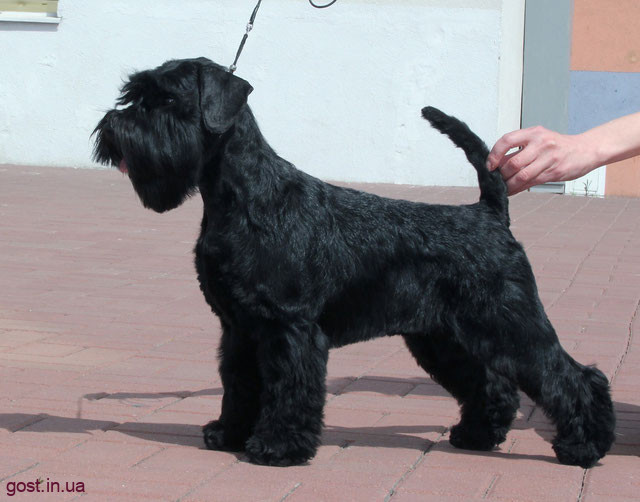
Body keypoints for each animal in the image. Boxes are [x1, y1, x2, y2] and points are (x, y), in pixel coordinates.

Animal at [93, 57, 615, 468]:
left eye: (166, 99)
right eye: (135, 95)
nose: (112, 126)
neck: (245, 199)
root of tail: (489, 212)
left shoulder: (289, 327)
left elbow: (289, 390)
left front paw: (278, 447)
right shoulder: (239, 329)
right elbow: (240, 384)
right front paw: (229, 433)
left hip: (511, 324)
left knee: (571, 377)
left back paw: (585, 446)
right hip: (442, 337)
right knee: (493, 385)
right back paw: (476, 436)